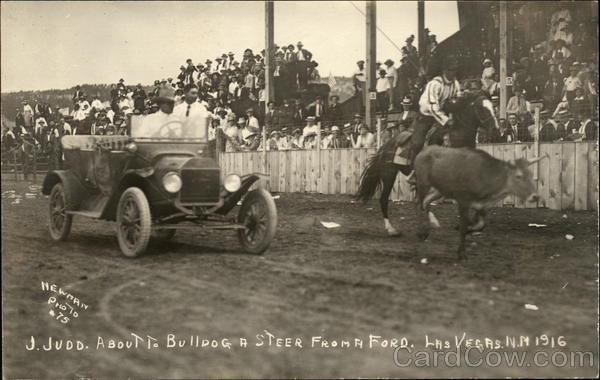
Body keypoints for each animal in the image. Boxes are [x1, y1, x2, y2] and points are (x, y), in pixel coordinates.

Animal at [356, 91, 496, 235]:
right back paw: (392, 229)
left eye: (493, 107)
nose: (495, 129)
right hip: (388, 174)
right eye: (481, 108)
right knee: (384, 199)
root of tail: (386, 145)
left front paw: (475, 224)